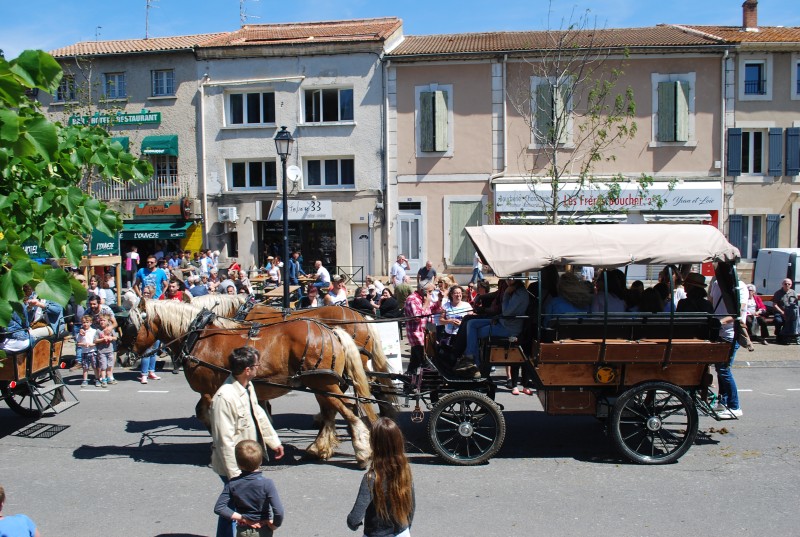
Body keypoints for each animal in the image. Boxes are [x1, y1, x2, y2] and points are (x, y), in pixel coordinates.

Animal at [119, 300, 378, 466]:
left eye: (129, 325)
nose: (122, 355)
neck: (198, 336)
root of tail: (332, 332)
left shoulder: (208, 390)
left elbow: (206, 414)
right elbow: (256, 412)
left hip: (323, 382)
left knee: (348, 411)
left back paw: (362, 451)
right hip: (323, 383)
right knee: (335, 410)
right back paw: (322, 447)